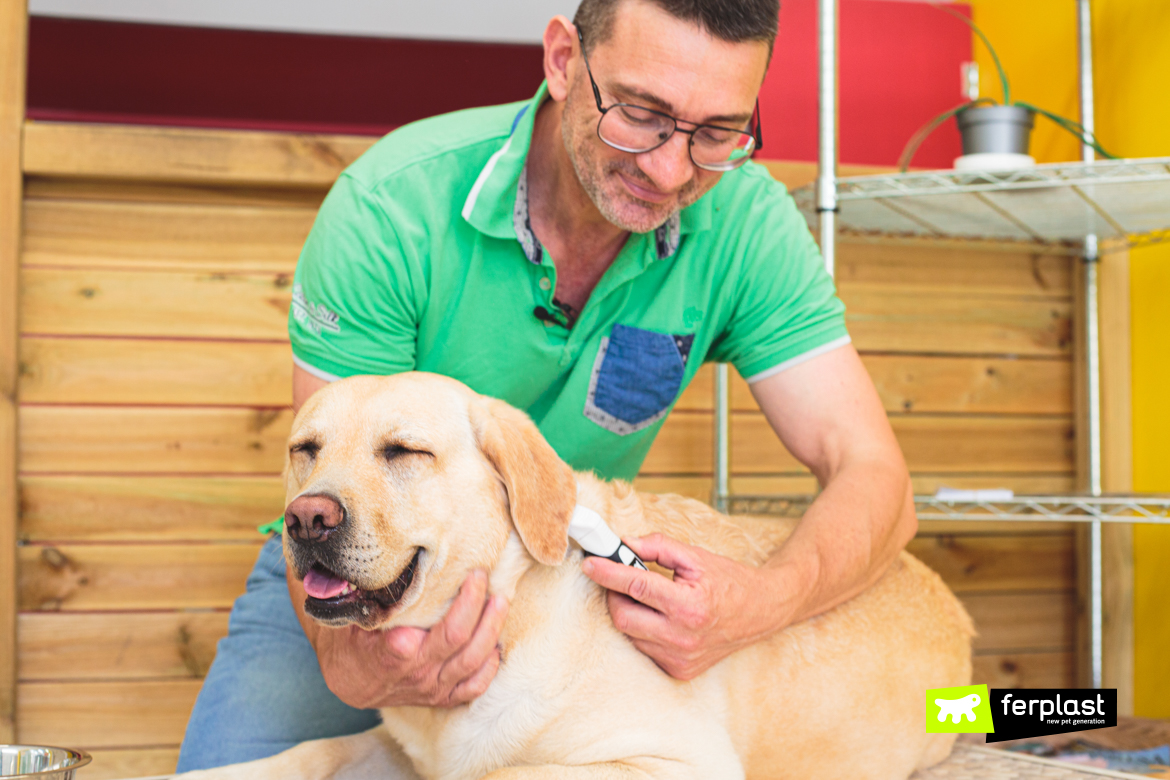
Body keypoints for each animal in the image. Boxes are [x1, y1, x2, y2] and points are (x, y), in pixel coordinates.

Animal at [177, 371, 973, 780]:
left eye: (404, 451)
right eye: (304, 450)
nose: (306, 520)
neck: (512, 602)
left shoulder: (672, 763)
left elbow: (499, 774)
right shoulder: (394, 743)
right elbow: (306, 753)